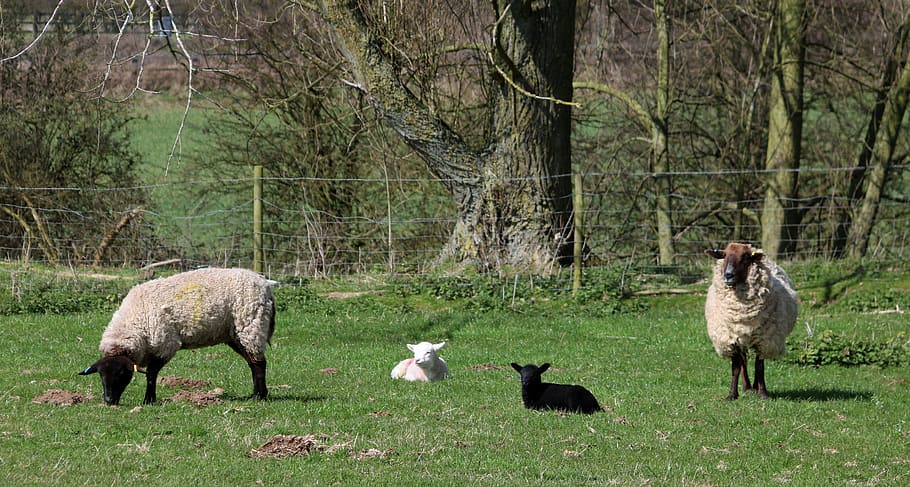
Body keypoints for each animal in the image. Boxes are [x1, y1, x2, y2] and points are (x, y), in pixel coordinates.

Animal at [79, 267, 277, 405]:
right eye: (101, 376)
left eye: (121, 373)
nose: (109, 401)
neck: (134, 322)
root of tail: (264, 284)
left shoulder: (166, 344)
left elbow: (151, 374)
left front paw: (149, 400)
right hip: (235, 334)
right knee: (253, 363)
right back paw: (255, 394)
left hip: (251, 325)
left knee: (259, 364)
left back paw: (259, 396)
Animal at [704, 242, 798, 400]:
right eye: (724, 255)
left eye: (746, 257)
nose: (728, 275)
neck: (742, 314)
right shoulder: (731, 340)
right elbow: (735, 368)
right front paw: (732, 395)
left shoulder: (764, 340)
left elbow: (759, 367)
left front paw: (763, 393)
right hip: (740, 338)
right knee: (743, 362)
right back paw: (747, 387)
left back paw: (754, 387)